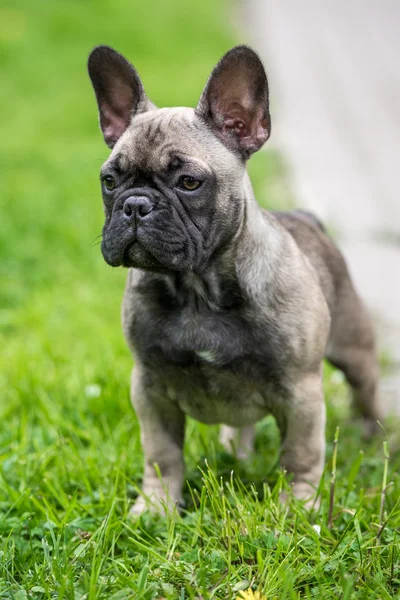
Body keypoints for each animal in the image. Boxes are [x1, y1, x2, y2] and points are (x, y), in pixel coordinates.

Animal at [86, 44, 382, 512]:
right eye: (110, 180)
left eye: (189, 182)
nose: (135, 205)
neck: (196, 289)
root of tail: (305, 216)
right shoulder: (149, 388)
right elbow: (161, 453)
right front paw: (156, 507)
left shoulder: (300, 391)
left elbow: (300, 453)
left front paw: (298, 506)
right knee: (240, 424)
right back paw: (233, 451)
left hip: (354, 348)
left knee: (366, 391)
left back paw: (375, 440)